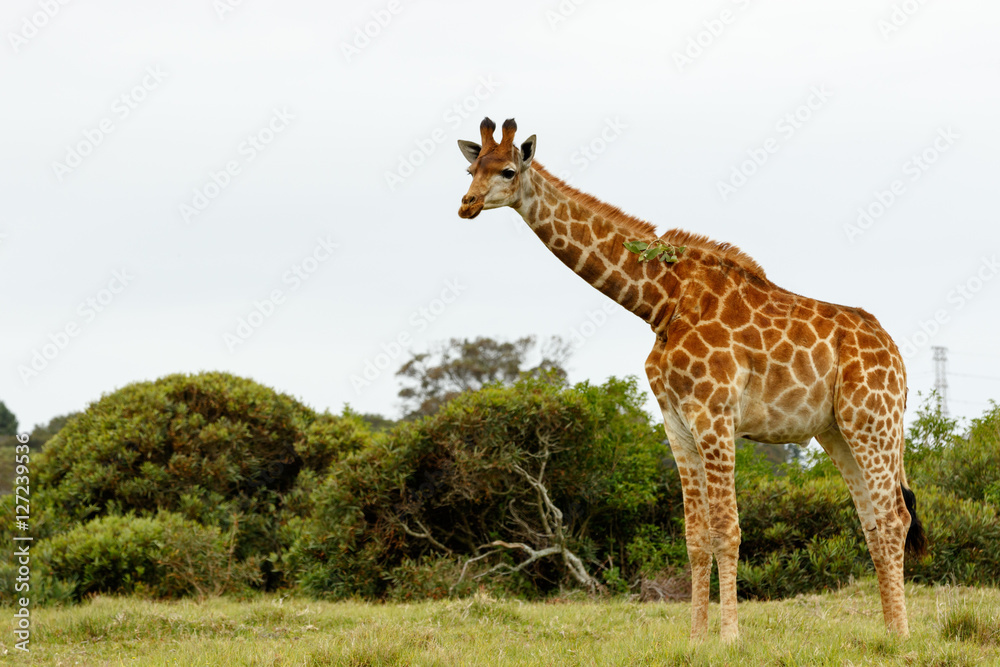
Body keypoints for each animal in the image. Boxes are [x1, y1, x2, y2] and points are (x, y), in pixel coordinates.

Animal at [456, 117, 927, 642]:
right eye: (472, 168)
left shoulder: (714, 414)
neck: (661, 302)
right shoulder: (676, 421)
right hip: (837, 430)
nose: (467, 204)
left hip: (873, 420)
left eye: (509, 171)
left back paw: (903, 635)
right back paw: (889, 630)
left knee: (894, 516)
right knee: (872, 520)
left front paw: (730, 636)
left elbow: (728, 528)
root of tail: (896, 354)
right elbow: (695, 534)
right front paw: (698, 636)